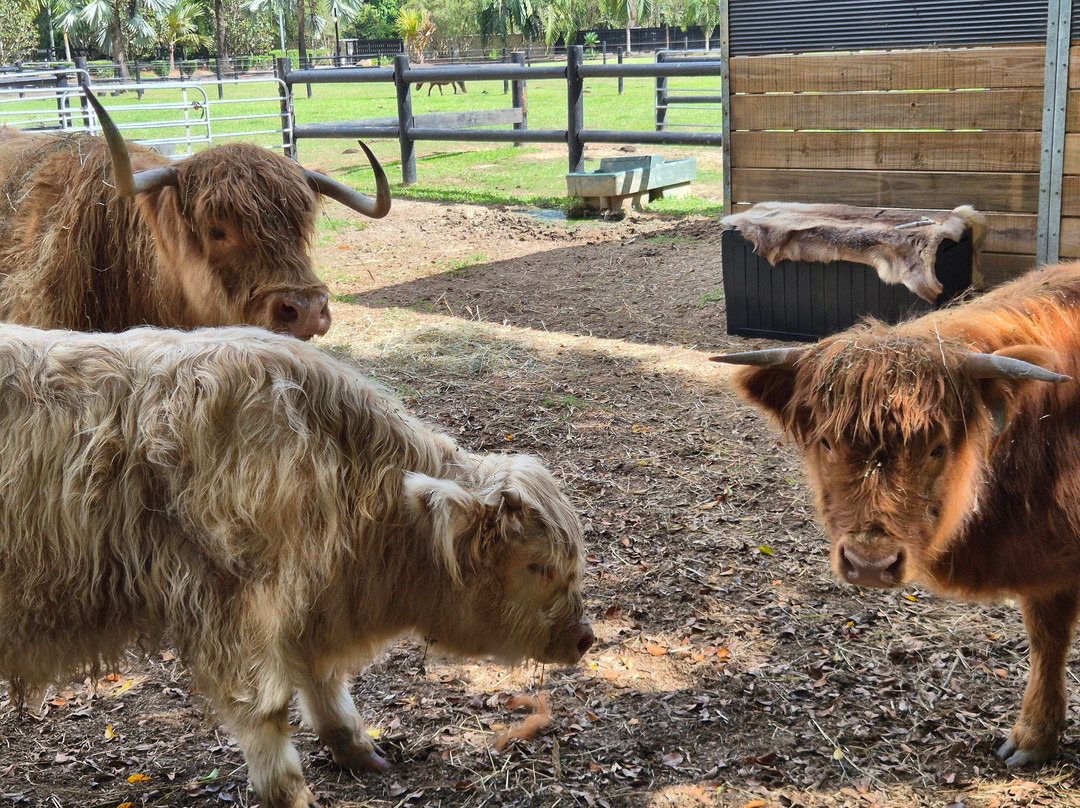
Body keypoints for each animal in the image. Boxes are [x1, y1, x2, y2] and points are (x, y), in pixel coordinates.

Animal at [0, 324, 594, 808]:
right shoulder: (235, 608)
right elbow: (267, 708)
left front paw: (361, 750)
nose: (585, 637)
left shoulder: (307, 610)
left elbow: (324, 680)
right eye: (538, 566)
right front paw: (291, 792)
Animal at [713, 261, 1080, 768]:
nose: (870, 564)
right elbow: (1047, 636)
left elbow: (1049, 635)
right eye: (826, 442)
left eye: (938, 447)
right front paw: (1036, 736)